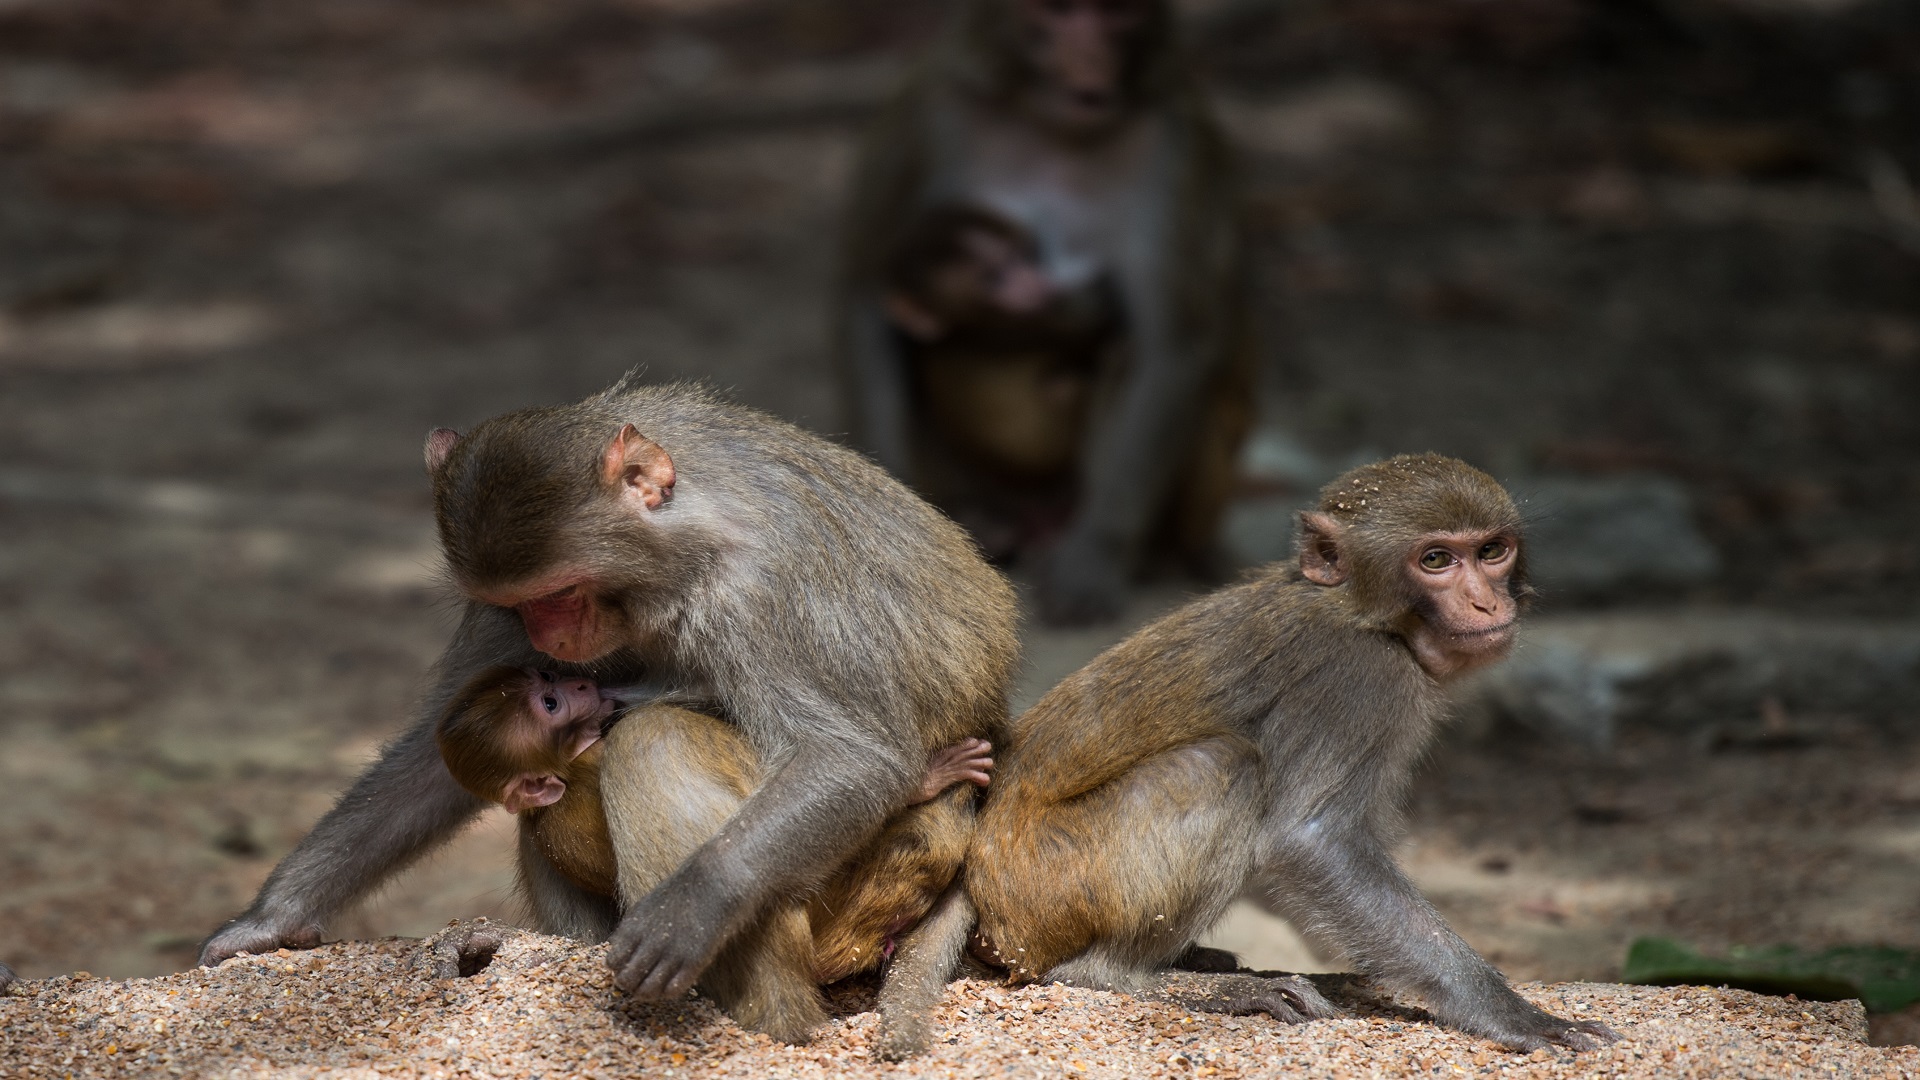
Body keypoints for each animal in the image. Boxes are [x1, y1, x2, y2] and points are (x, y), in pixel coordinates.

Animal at [839, 0, 1255, 624]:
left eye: (1117, 16)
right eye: (1056, 11)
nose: (1089, 67)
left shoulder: (1174, 146)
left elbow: (1170, 340)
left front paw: (1091, 562)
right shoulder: (930, 107)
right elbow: (867, 292)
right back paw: (988, 526)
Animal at [870, 455, 1622, 1059]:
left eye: (1492, 550)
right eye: (1436, 560)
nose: (1485, 602)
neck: (1364, 615)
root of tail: (978, 861)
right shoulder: (1359, 680)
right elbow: (1311, 841)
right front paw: (1511, 1013)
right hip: (1049, 886)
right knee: (1221, 766)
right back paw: (1123, 973)